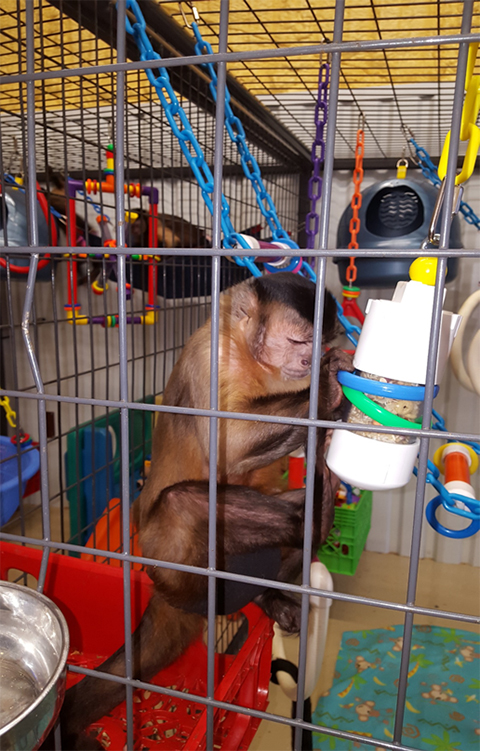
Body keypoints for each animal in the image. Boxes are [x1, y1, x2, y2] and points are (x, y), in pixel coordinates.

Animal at [57, 272, 352, 750]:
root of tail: (161, 592)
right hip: (170, 561)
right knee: (183, 503)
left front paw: (331, 419)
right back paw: (311, 519)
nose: (310, 362)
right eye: (299, 341)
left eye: (318, 342)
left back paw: (285, 566)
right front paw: (327, 389)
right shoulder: (211, 357)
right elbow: (228, 443)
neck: (253, 359)